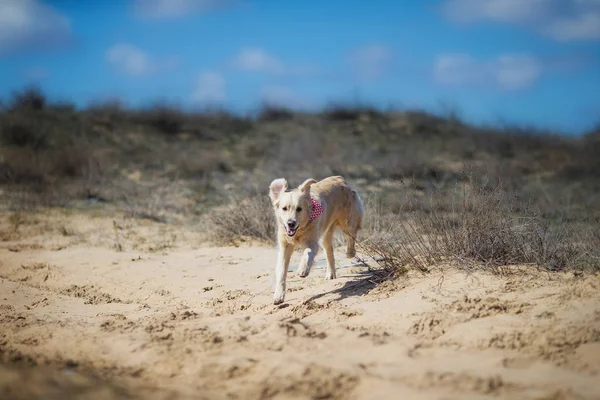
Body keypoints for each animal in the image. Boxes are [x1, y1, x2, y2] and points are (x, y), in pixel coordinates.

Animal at [268, 175, 364, 304]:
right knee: (329, 252)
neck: (299, 230)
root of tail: (340, 178)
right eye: (284, 208)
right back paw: (330, 273)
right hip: (325, 234)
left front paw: (303, 270)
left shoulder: (312, 242)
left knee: (352, 234)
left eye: (299, 209)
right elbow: (282, 270)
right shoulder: (285, 245)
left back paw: (350, 252)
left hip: (347, 220)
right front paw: (279, 295)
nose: (290, 223)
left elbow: (307, 252)